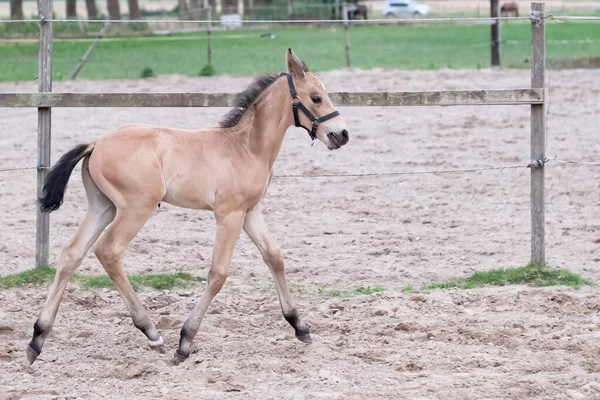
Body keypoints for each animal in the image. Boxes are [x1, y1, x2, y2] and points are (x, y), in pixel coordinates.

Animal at [25, 48, 350, 368]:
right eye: (316, 98)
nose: (341, 135)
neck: (245, 147)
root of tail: (96, 143)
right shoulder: (229, 214)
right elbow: (218, 273)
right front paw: (185, 341)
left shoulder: (249, 212)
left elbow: (274, 257)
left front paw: (300, 326)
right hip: (136, 207)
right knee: (109, 251)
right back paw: (152, 332)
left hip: (102, 207)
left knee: (72, 252)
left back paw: (37, 338)